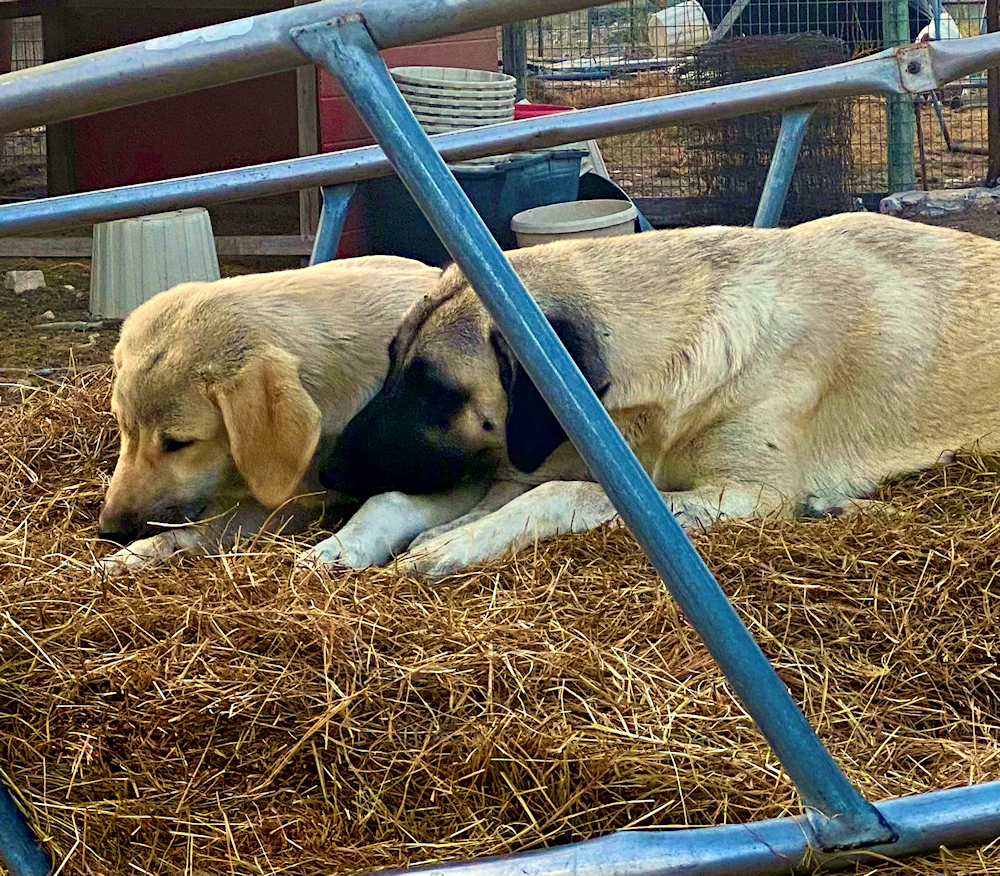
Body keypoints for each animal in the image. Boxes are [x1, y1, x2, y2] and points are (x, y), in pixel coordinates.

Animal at [310, 213, 1000, 580]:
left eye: (435, 391)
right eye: (392, 364)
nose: (329, 470)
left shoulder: (749, 495)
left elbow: (568, 493)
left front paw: (451, 543)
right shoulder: (514, 463)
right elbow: (403, 500)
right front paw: (346, 544)